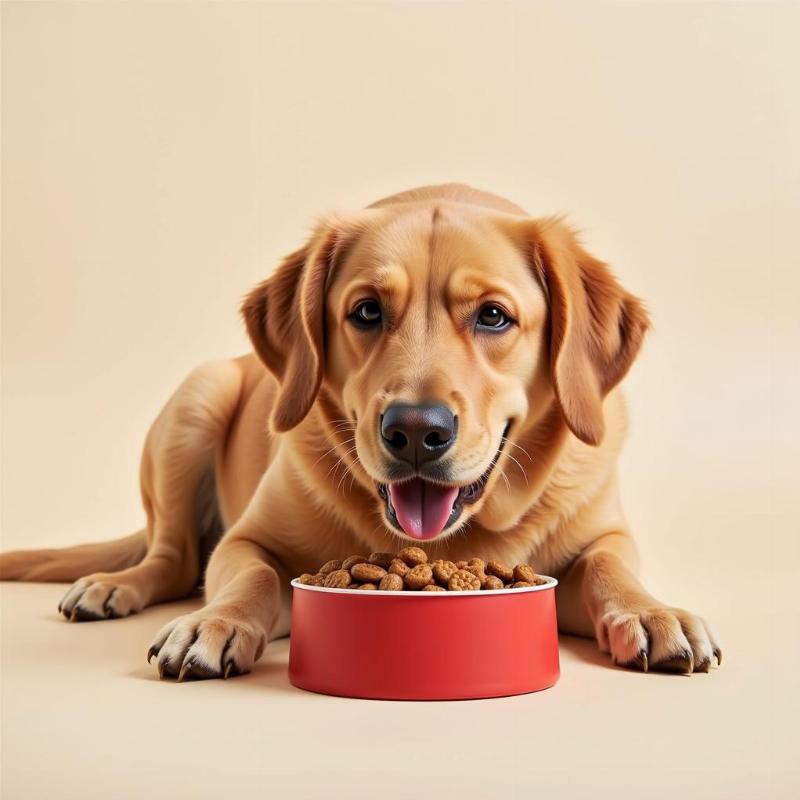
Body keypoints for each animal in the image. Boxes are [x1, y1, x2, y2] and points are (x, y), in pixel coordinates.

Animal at [0, 184, 720, 680]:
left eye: (493, 316)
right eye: (367, 311)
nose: (416, 431)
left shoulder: (602, 541)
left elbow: (608, 570)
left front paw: (654, 612)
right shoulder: (245, 541)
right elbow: (249, 578)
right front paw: (215, 622)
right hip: (198, 396)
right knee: (172, 559)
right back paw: (113, 585)